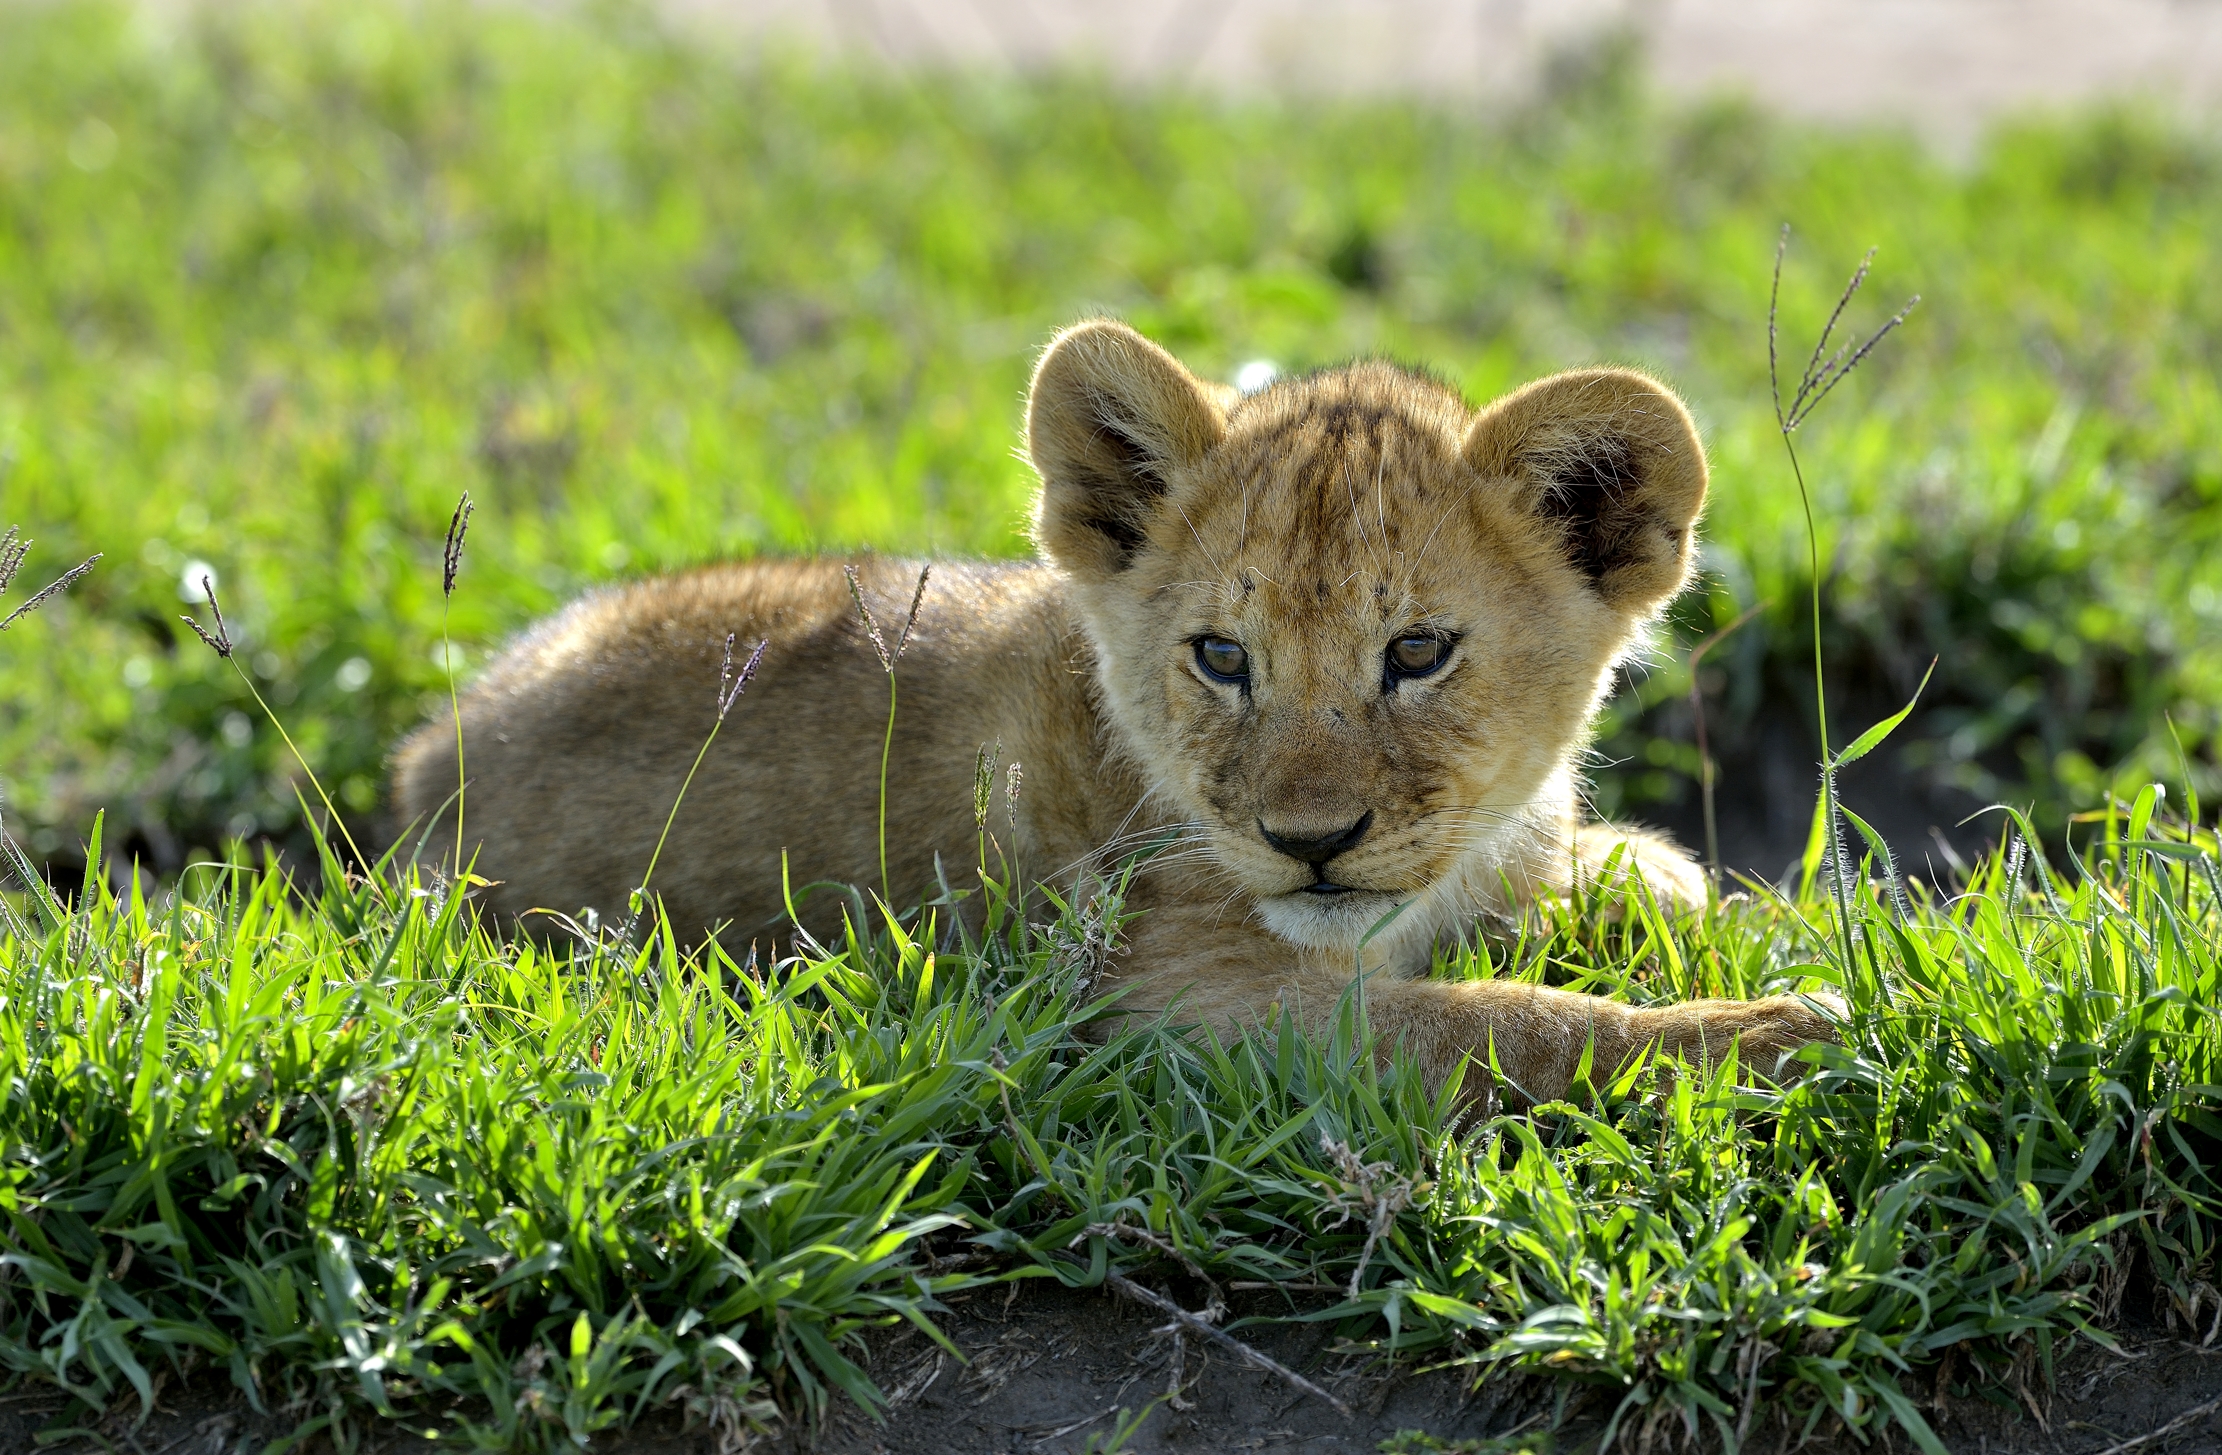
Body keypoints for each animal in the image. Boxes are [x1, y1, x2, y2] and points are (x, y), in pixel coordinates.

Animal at [392, 320, 1840, 1105]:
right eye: (1220, 656)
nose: (1309, 842)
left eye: (1417, 652)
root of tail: (424, 757)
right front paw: (1768, 1035)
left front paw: (1698, 898)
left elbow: (1633, 886)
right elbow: (1494, 1022)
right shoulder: (1171, 1005)